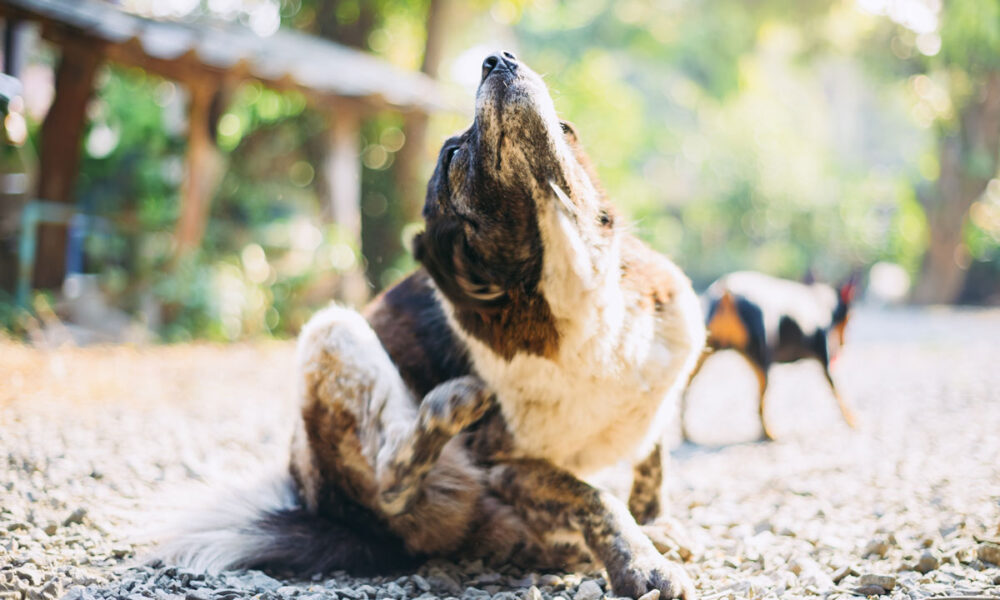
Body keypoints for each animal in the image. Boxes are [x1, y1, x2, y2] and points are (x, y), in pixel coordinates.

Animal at [154, 52, 704, 600]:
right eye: (453, 155)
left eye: (564, 129)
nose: (495, 58)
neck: (578, 296)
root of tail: (341, 523)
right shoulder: (505, 466)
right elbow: (595, 499)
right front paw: (641, 565)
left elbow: (651, 467)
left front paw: (653, 524)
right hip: (334, 332)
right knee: (392, 483)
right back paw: (448, 406)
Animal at [680, 272, 860, 440]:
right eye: (850, 317)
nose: (844, 344)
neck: (820, 301)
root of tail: (727, 292)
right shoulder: (826, 361)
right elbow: (839, 394)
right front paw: (852, 420)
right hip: (762, 362)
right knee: (760, 404)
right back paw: (769, 433)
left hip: (699, 355)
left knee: (683, 390)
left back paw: (684, 431)